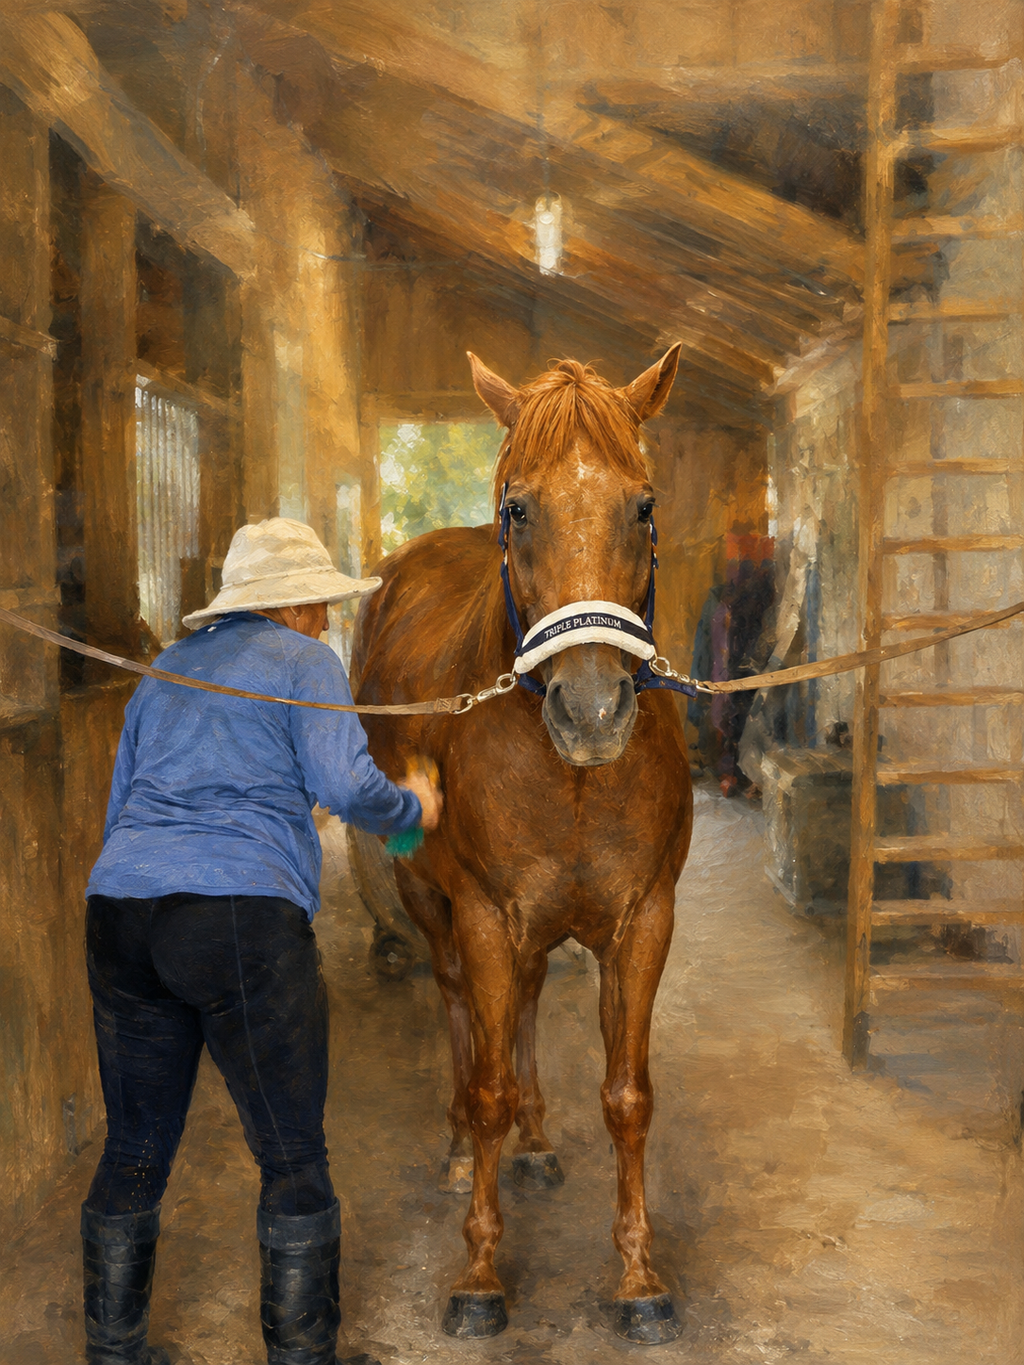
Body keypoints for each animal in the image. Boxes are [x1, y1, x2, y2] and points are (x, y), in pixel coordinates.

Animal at [351, 345, 693, 1344]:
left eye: (644, 504)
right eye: (517, 508)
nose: (592, 710)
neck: (567, 772)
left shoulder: (641, 919)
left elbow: (627, 1096)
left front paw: (640, 1276)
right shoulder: (483, 916)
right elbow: (491, 1083)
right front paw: (479, 1274)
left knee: (531, 1005)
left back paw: (537, 1145)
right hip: (431, 904)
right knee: (463, 1017)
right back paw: (464, 1148)